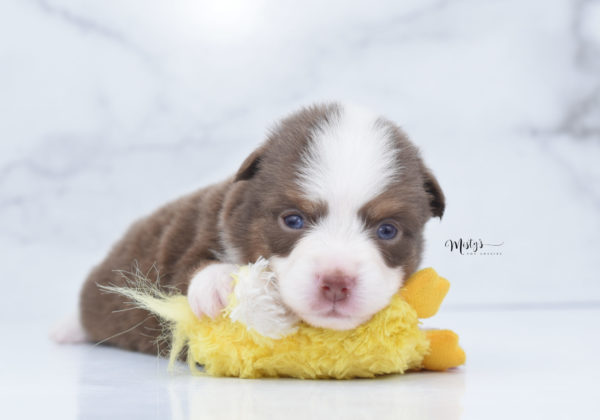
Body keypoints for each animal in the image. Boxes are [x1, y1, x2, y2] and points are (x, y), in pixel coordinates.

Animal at [72, 102, 442, 354]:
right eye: (293, 220)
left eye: (387, 231)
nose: (337, 283)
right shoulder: (196, 235)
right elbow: (191, 265)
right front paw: (220, 284)